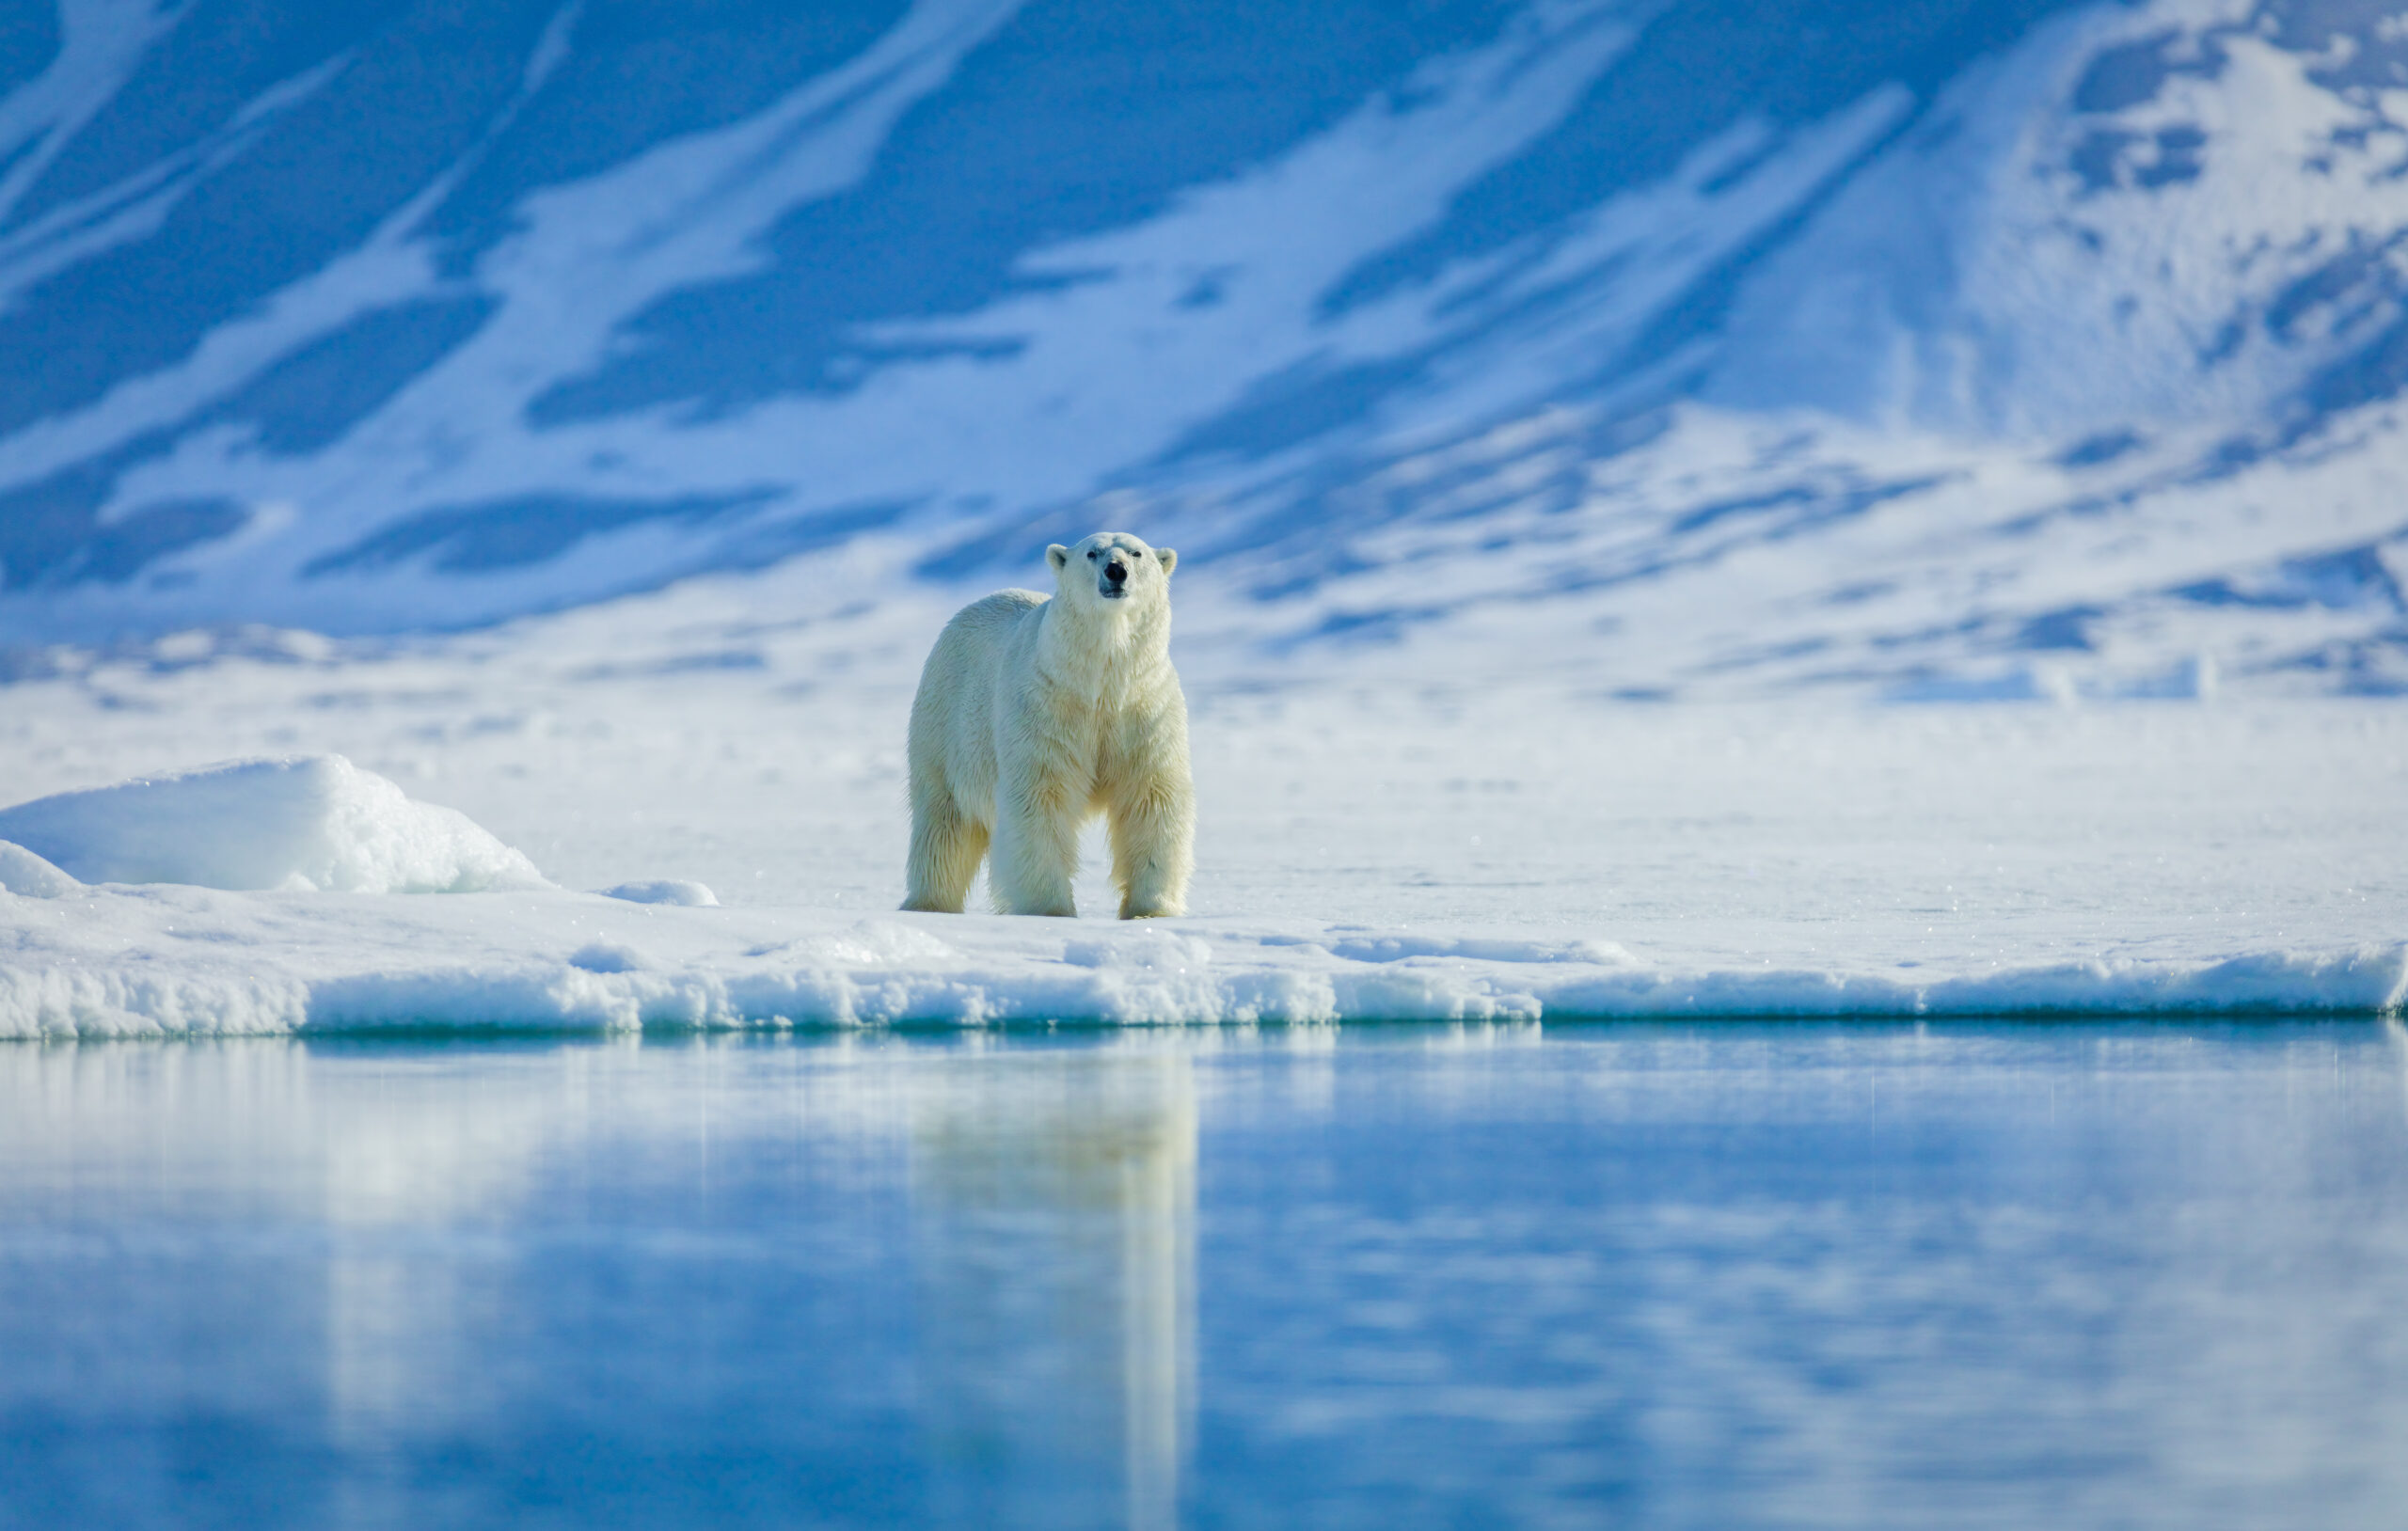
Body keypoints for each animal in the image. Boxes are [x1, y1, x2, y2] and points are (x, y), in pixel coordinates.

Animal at [900, 531, 1198, 914]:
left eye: (1137, 552)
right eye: (1092, 552)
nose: (1116, 571)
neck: (1099, 684)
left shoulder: (1143, 710)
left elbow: (1151, 797)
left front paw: (1151, 908)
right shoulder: (1046, 709)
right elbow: (1040, 797)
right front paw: (1049, 908)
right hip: (945, 722)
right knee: (945, 822)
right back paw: (929, 903)